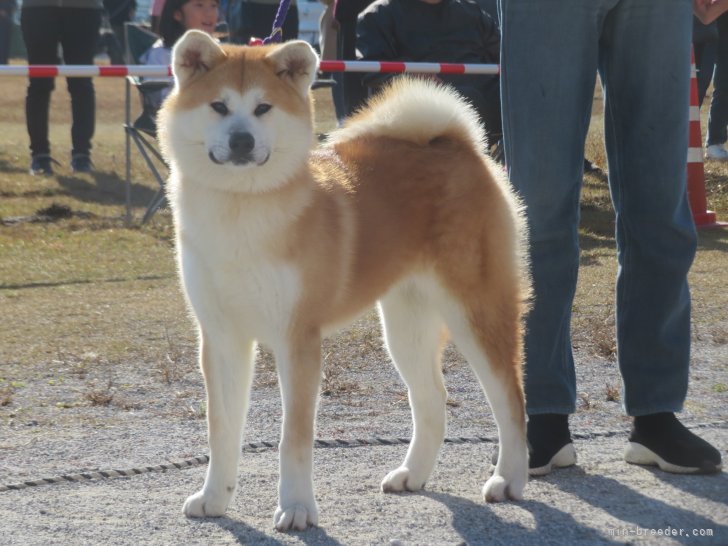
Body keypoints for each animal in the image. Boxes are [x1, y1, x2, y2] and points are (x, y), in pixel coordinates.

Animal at [159, 28, 532, 528]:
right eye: (218, 106)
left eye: (263, 108)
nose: (241, 141)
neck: (240, 214)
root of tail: (459, 143)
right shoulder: (220, 338)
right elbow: (220, 431)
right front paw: (215, 498)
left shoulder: (297, 337)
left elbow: (293, 437)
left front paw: (296, 507)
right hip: (405, 326)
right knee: (432, 401)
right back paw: (412, 474)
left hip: (476, 310)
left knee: (510, 399)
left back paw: (508, 478)